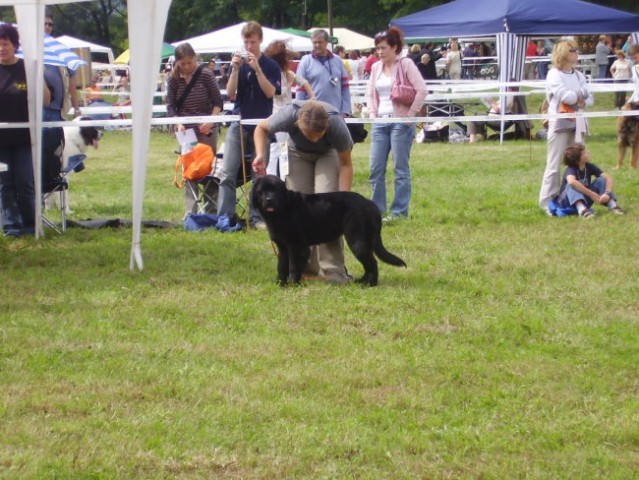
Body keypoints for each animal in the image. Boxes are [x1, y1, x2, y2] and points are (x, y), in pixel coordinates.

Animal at [250, 174, 404, 284]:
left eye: (275, 190)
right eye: (261, 191)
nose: (269, 199)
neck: (282, 210)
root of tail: (370, 204)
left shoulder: (296, 246)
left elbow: (293, 266)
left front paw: (293, 284)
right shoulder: (282, 247)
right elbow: (281, 265)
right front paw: (280, 283)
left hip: (357, 240)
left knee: (372, 263)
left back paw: (370, 284)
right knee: (368, 264)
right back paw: (361, 281)